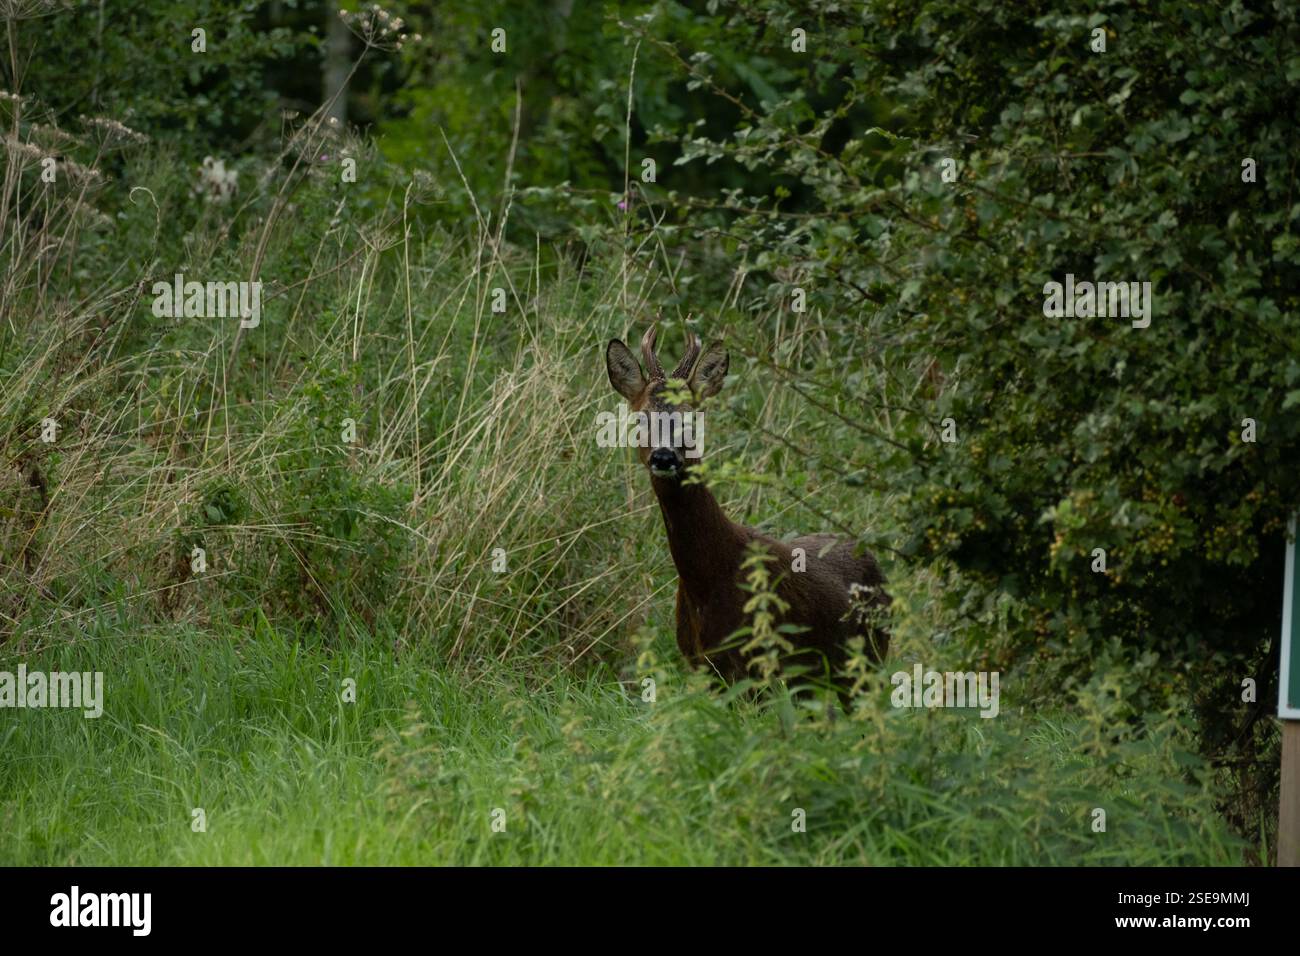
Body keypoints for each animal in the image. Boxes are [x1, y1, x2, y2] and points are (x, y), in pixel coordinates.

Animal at [605, 325, 890, 696]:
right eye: (641, 418)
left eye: (693, 416)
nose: (664, 457)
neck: (709, 582)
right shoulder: (703, 666)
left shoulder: (759, 665)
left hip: (868, 660)